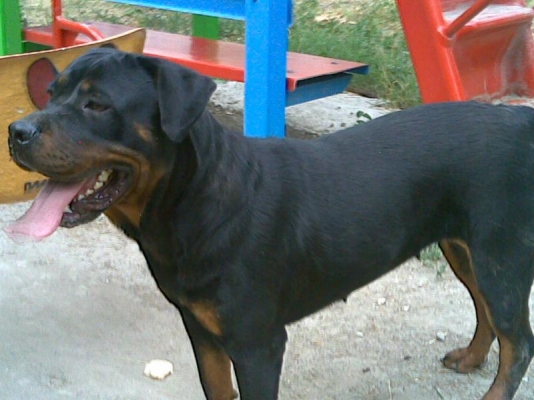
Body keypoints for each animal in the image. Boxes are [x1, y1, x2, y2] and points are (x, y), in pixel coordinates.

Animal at [6, 47, 534, 400]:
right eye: (49, 94)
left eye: (97, 104)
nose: (17, 131)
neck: (192, 203)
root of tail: (520, 122)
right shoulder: (201, 330)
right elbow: (217, 391)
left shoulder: (258, 343)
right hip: (464, 248)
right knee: (488, 313)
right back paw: (470, 357)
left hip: (501, 256)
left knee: (518, 343)